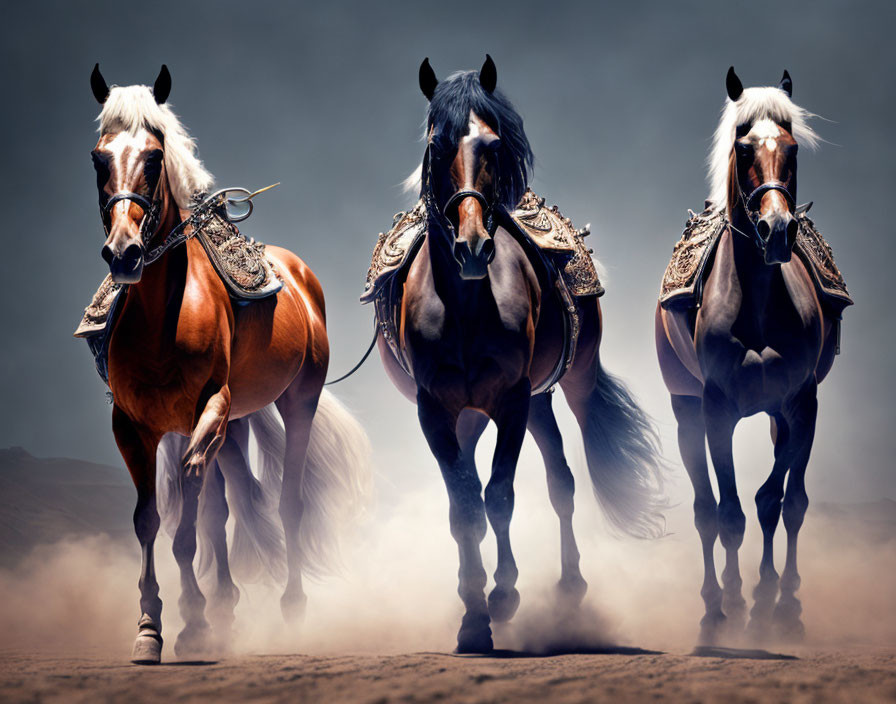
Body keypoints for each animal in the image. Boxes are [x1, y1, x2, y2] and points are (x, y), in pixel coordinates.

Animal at [378, 56, 664, 656]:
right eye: (437, 144)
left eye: (492, 145)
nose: (472, 246)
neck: (465, 305)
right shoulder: (434, 409)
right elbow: (465, 507)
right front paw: (473, 617)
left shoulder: (511, 400)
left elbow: (500, 495)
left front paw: (503, 596)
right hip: (486, 411)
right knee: (481, 485)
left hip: (561, 388)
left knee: (561, 482)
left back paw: (568, 586)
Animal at [656, 69, 852, 648]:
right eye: (743, 149)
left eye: (792, 148)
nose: (777, 230)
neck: (760, 299)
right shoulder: (717, 411)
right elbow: (729, 514)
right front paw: (733, 605)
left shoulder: (800, 406)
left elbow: (779, 502)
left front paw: (778, 605)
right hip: (686, 409)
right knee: (705, 509)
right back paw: (715, 605)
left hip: (774, 415)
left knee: (779, 504)